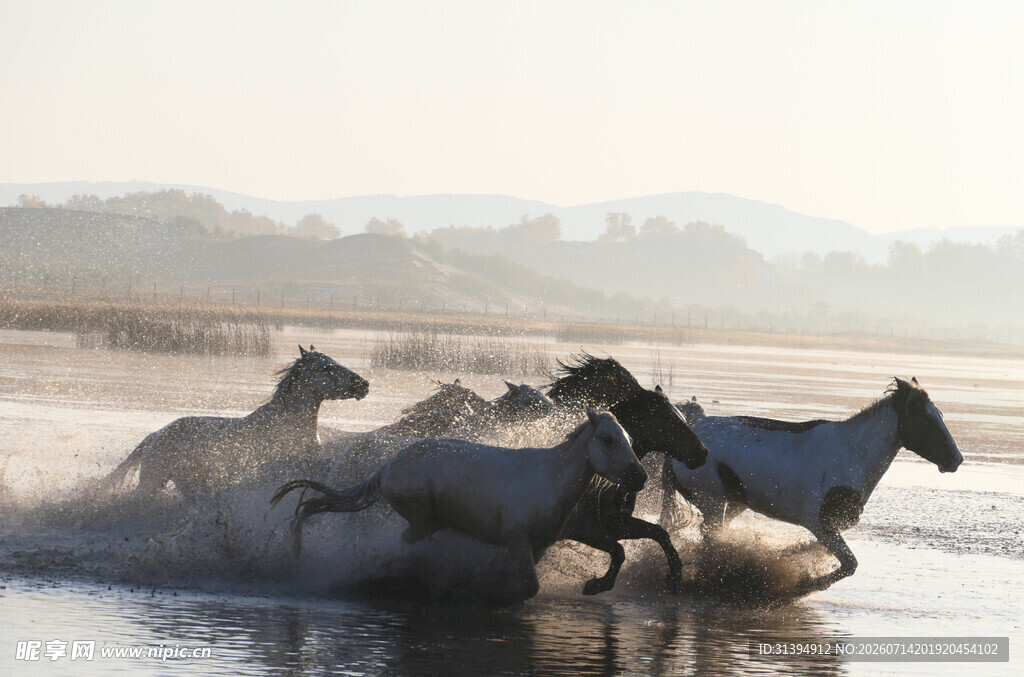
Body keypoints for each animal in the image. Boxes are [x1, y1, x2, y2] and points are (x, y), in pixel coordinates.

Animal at [271, 409, 647, 602]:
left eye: (629, 438)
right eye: (608, 440)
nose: (640, 477)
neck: (549, 480)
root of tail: (387, 467)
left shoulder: (545, 542)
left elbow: (616, 550)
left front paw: (595, 585)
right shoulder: (516, 540)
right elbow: (529, 587)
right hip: (421, 521)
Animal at [544, 352, 708, 595]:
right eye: (668, 419)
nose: (702, 452)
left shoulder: (617, 523)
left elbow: (658, 532)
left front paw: (675, 575)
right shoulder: (582, 527)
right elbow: (620, 550)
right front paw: (598, 584)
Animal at [660, 377, 963, 593]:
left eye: (939, 414)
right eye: (924, 418)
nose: (956, 459)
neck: (850, 455)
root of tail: (695, 428)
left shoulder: (833, 526)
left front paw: (786, 558)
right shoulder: (819, 522)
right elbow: (850, 564)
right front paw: (805, 584)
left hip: (734, 503)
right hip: (713, 500)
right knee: (711, 538)